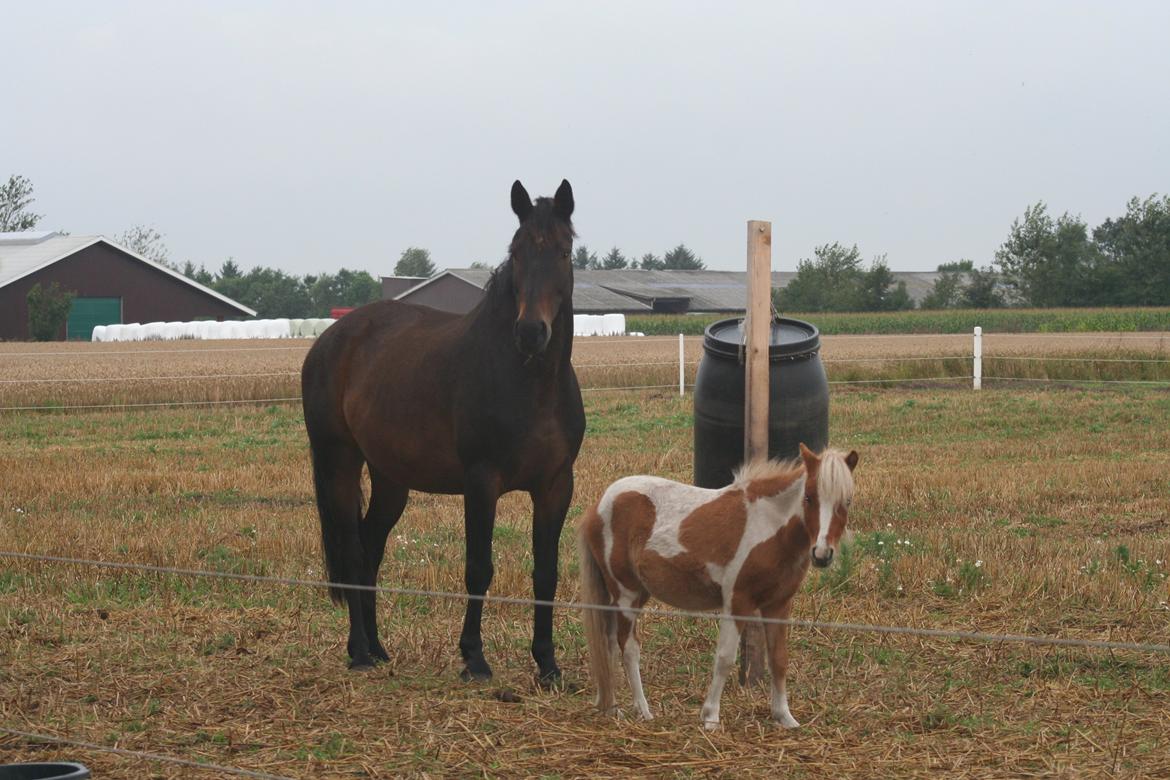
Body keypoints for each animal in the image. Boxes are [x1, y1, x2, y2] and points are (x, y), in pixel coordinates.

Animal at [301, 181, 585, 682]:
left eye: (564, 251)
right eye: (516, 252)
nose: (531, 332)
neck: (532, 384)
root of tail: (331, 338)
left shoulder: (556, 485)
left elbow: (546, 573)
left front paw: (548, 663)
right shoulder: (481, 481)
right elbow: (478, 567)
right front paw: (474, 657)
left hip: (390, 479)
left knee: (371, 548)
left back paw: (378, 647)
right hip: (339, 462)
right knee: (353, 551)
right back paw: (359, 652)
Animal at [580, 444, 856, 734]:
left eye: (846, 501)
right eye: (809, 498)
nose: (822, 554)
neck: (768, 525)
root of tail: (598, 505)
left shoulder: (778, 605)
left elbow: (779, 659)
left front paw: (785, 717)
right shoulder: (737, 602)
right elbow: (724, 659)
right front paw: (710, 717)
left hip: (629, 595)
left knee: (608, 643)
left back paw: (610, 706)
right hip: (626, 595)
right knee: (629, 647)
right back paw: (643, 711)